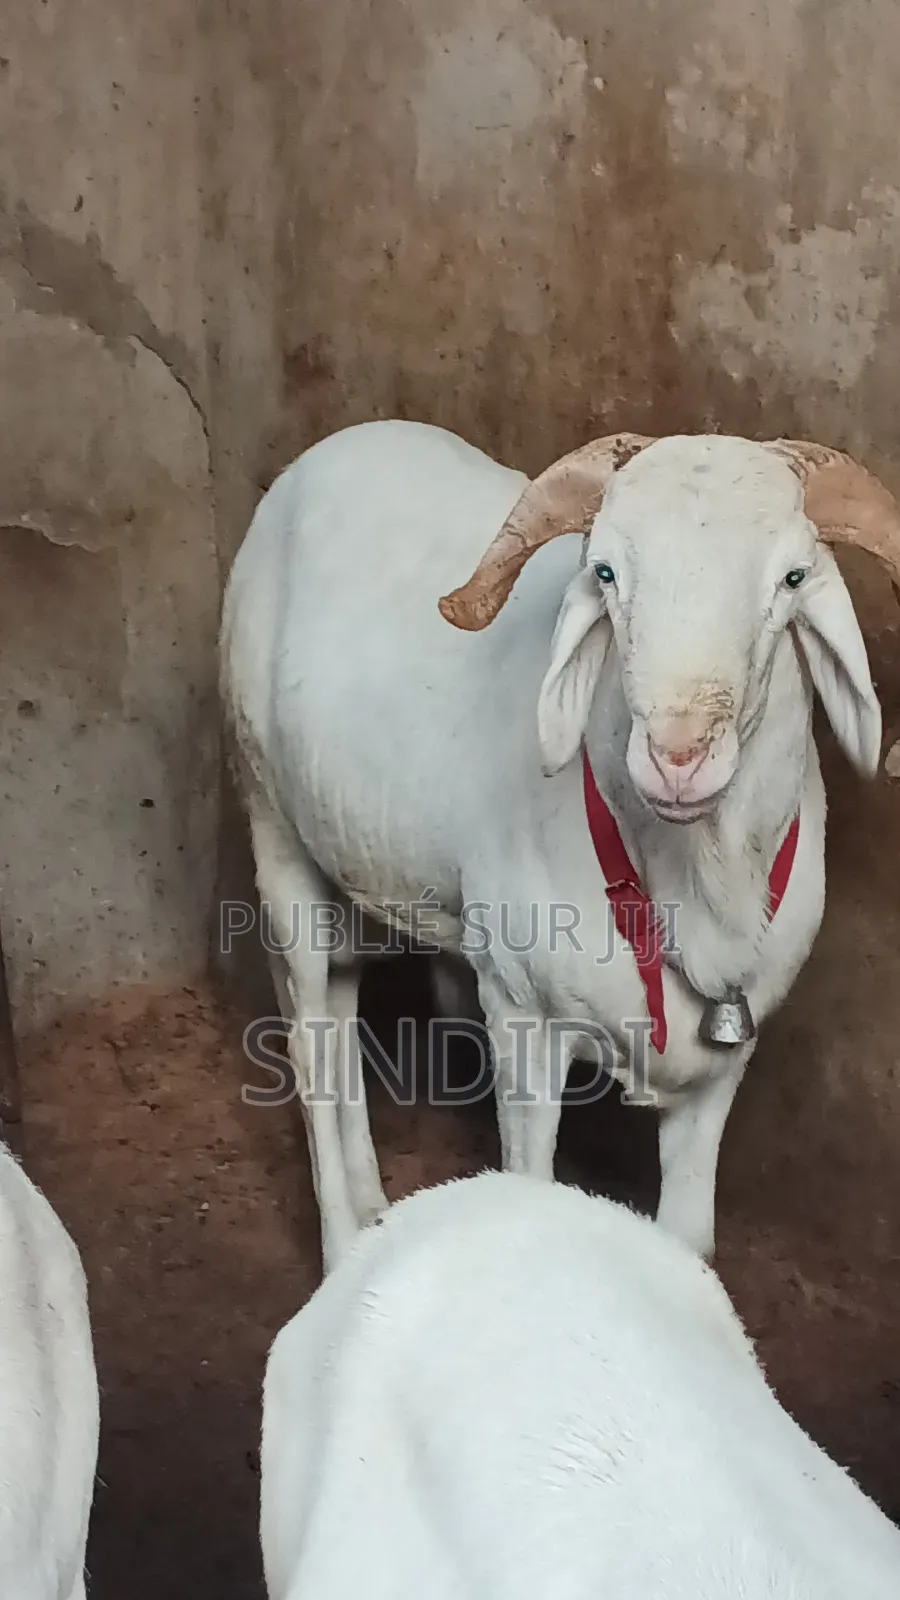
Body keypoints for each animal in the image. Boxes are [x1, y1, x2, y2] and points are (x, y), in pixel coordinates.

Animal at [219, 420, 900, 1270]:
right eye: (605, 572)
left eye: (792, 577)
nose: (678, 756)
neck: (690, 878)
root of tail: (340, 442)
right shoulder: (520, 1018)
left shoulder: (723, 1064)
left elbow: (691, 1240)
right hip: (269, 819)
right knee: (310, 1041)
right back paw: (344, 1241)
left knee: (342, 1013)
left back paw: (376, 1205)